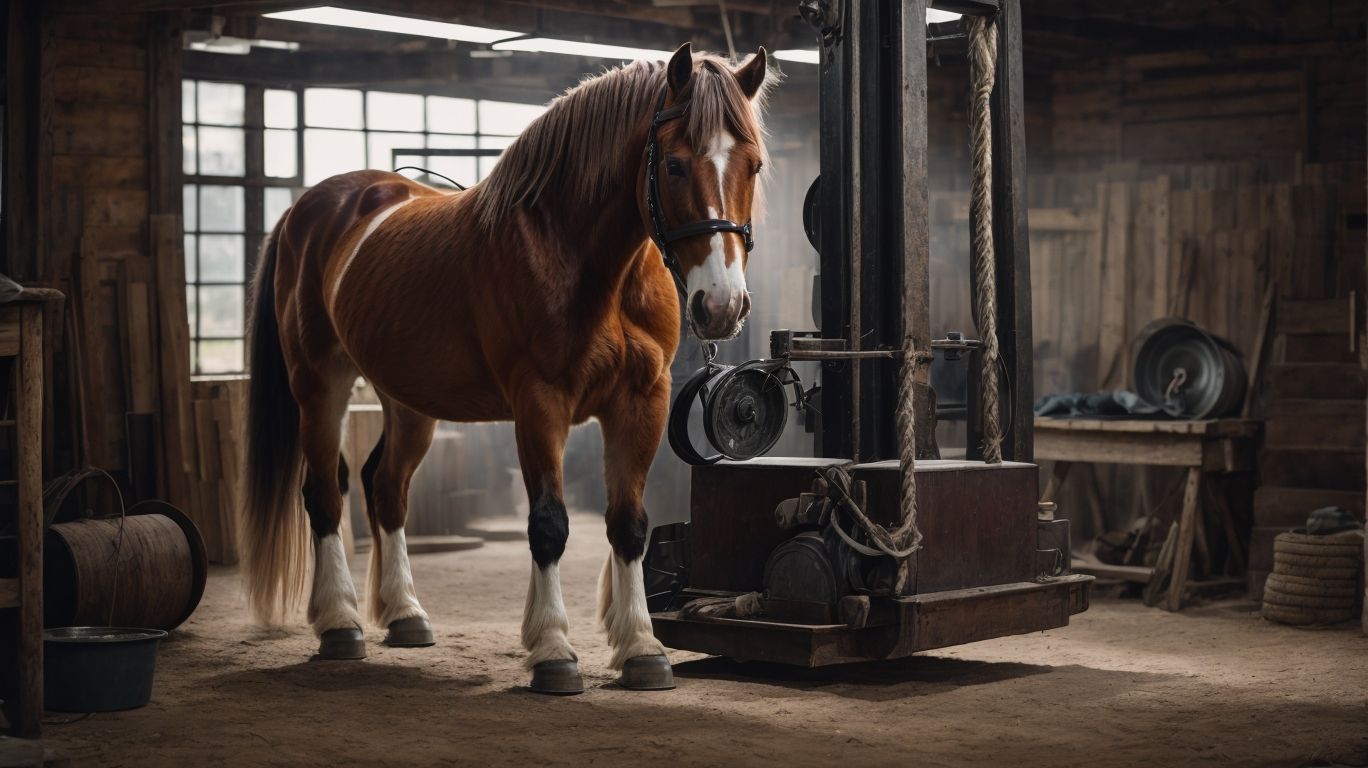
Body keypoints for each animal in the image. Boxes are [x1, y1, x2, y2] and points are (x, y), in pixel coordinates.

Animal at [239, 43, 774, 694]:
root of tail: (307, 209)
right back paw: (341, 623)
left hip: (408, 400)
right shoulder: (538, 401)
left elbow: (629, 524)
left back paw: (405, 615)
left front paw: (642, 649)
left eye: (753, 166)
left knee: (385, 489)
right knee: (324, 493)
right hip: (320, 385)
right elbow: (549, 525)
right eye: (673, 165)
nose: (721, 306)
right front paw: (552, 651)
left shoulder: (641, 399)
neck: (578, 255)